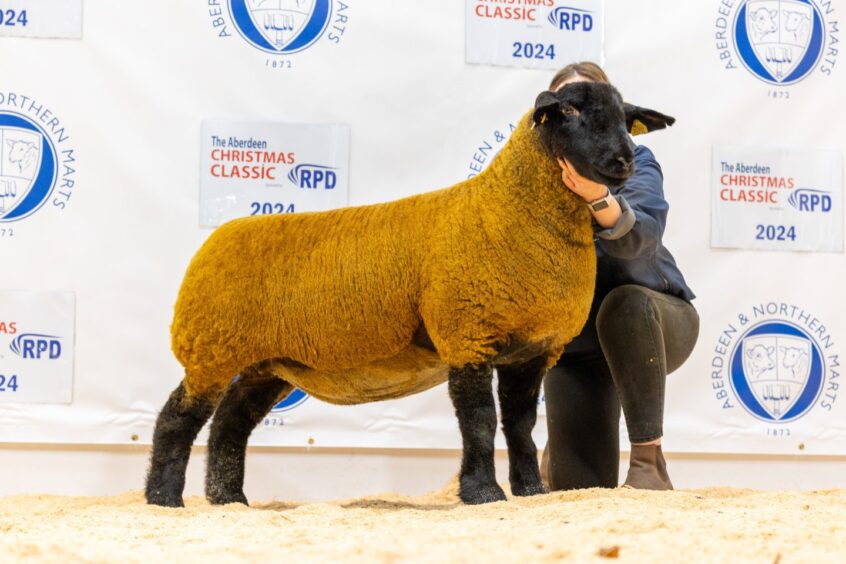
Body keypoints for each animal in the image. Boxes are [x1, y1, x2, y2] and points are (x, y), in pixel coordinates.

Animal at [144, 81, 676, 508]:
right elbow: (480, 422)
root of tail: (219, 236)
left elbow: (521, 426)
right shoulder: (467, 334)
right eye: (568, 110)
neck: (508, 208)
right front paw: (483, 493)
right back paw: (164, 499)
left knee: (231, 422)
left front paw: (530, 491)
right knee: (177, 418)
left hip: (266, 363)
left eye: (626, 118)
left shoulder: (532, 350)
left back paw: (228, 499)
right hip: (212, 347)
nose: (624, 161)